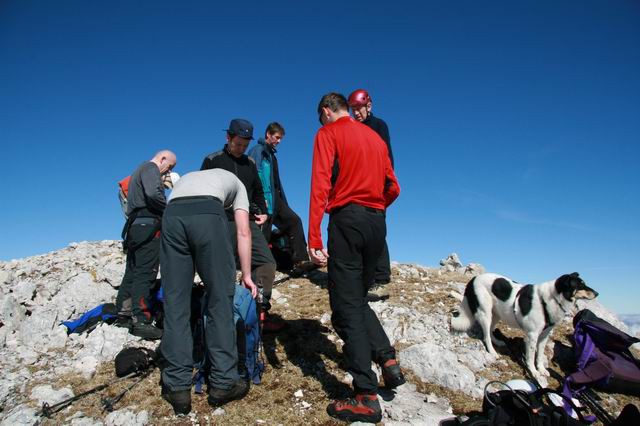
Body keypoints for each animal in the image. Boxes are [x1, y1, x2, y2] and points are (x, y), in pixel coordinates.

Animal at [452, 272, 596, 386]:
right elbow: (531, 357)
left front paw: (541, 369)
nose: (597, 293)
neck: (551, 299)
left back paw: (497, 341)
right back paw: (492, 351)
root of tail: (474, 278)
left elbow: (539, 356)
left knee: (492, 329)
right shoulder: (532, 336)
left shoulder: (544, 336)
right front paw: (533, 372)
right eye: (581, 285)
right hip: (485, 312)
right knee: (486, 334)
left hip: (497, 313)